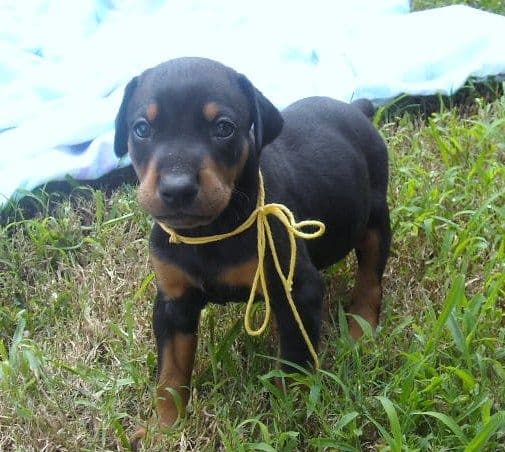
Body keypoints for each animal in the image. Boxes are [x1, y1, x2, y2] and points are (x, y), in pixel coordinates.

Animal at [114, 56, 390, 430]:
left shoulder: (296, 288)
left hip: (375, 214)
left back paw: (361, 326)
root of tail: (356, 109)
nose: (177, 188)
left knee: (371, 275)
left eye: (224, 127)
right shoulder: (173, 301)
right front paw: (165, 428)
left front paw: (290, 416)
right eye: (141, 129)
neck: (210, 232)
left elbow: (294, 362)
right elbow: (170, 374)